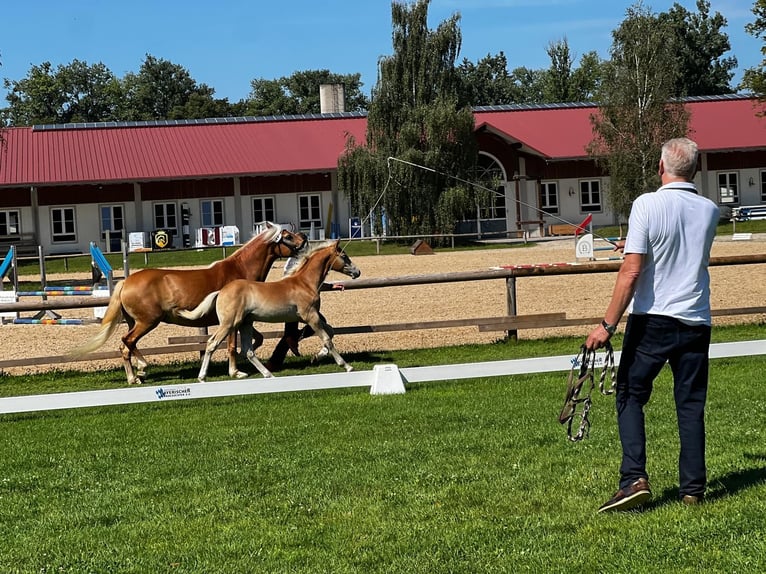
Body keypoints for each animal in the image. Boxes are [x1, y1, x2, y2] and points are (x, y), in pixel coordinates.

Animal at [69, 223, 308, 384]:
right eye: (287, 236)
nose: (304, 238)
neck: (239, 270)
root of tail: (126, 281)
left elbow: (255, 340)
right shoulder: (232, 322)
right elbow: (232, 346)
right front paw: (236, 372)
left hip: (135, 322)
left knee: (127, 345)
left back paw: (138, 372)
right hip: (147, 322)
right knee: (126, 343)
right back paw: (138, 373)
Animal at [178, 242, 362, 382]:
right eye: (344, 255)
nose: (357, 272)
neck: (304, 283)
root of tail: (221, 291)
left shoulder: (309, 317)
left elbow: (330, 331)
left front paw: (318, 356)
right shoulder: (310, 316)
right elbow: (327, 338)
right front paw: (346, 366)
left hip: (245, 323)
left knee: (247, 350)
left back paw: (268, 374)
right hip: (229, 323)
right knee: (212, 344)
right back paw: (202, 377)